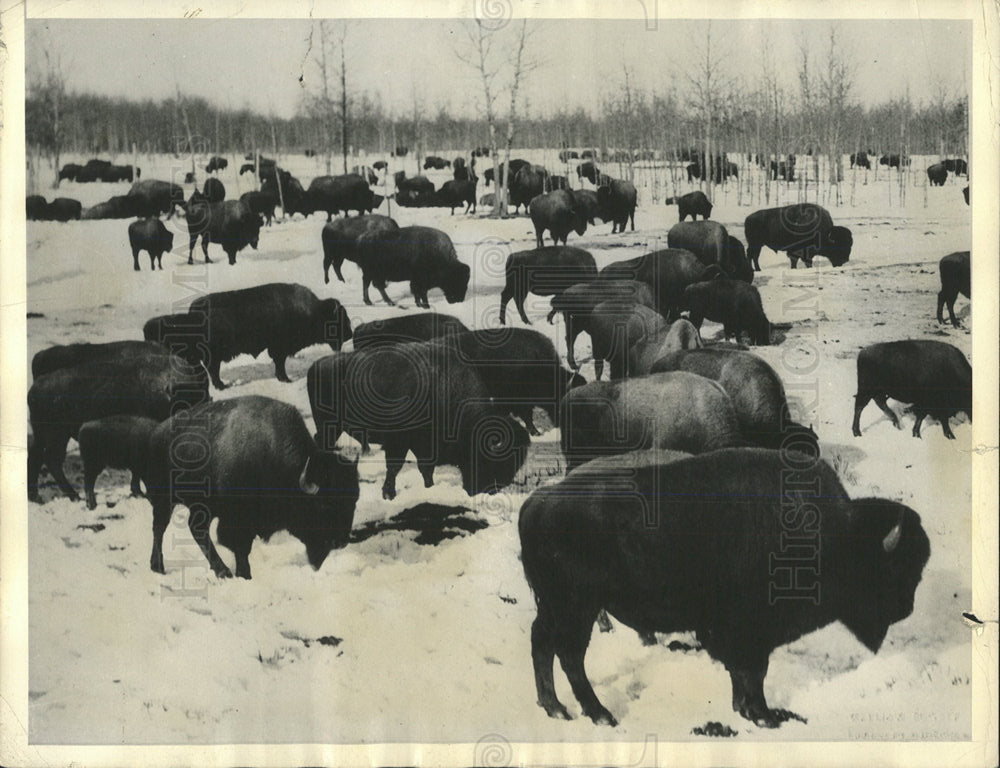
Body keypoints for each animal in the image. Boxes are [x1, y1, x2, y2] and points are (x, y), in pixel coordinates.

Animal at [143, 396, 358, 576]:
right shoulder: (238, 520)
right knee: (160, 528)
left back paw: (219, 570)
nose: (341, 541)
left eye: (354, 502)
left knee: (195, 529)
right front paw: (244, 574)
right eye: (325, 505)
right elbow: (240, 547)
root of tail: (156, 433)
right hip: (164, 499)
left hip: (202, 506)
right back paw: (160, 567)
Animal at [524, 444, 928, 728]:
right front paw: (764, 715)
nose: (906, 609)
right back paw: (599, 713)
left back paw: (554, 707)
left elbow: (741, 672)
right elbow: (754, 671)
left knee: (543, 643)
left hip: (557, 605)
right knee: (570, 654)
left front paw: (743, 709)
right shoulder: (753, 630)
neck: (836, 536)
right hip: (577, 606)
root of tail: (539, 502)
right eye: (895, 568)